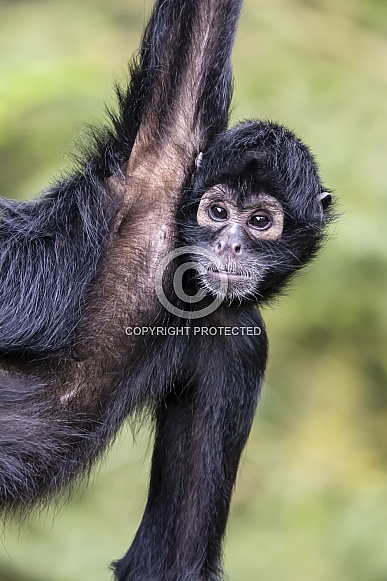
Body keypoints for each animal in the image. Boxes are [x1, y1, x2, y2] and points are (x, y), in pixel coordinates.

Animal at [0, 1, 334, 580]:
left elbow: (170, 559)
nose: (229, 245)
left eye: (260, 221)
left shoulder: (235, 338)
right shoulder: (153, 178)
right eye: (217, 211)